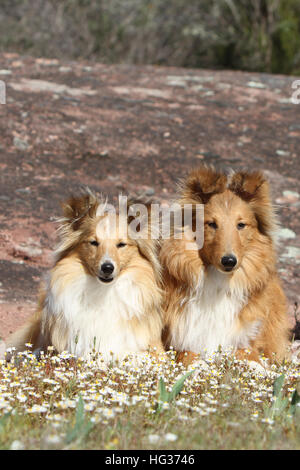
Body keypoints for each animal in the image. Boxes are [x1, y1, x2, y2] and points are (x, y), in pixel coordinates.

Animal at [162, 167, 290, 366]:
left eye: (241, 225)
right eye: (211, 224)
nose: (229, 261)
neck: (220, 281)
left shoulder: (244, 340)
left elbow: (252, 359)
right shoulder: (184, 340)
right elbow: (190, 357)